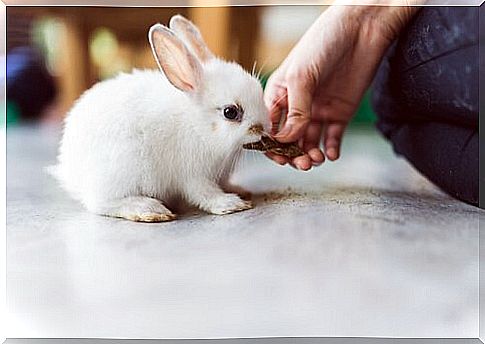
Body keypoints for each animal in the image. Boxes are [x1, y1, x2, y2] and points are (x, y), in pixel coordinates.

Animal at [52, 14, 268, 222]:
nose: (264, 127)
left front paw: (239, 191)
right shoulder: (193, 175)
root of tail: (70, 172)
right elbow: (205, 193)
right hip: (122, 168)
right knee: (100, 203)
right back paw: (148, 209)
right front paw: (232, 203)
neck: (198, 125)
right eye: (230, 112)